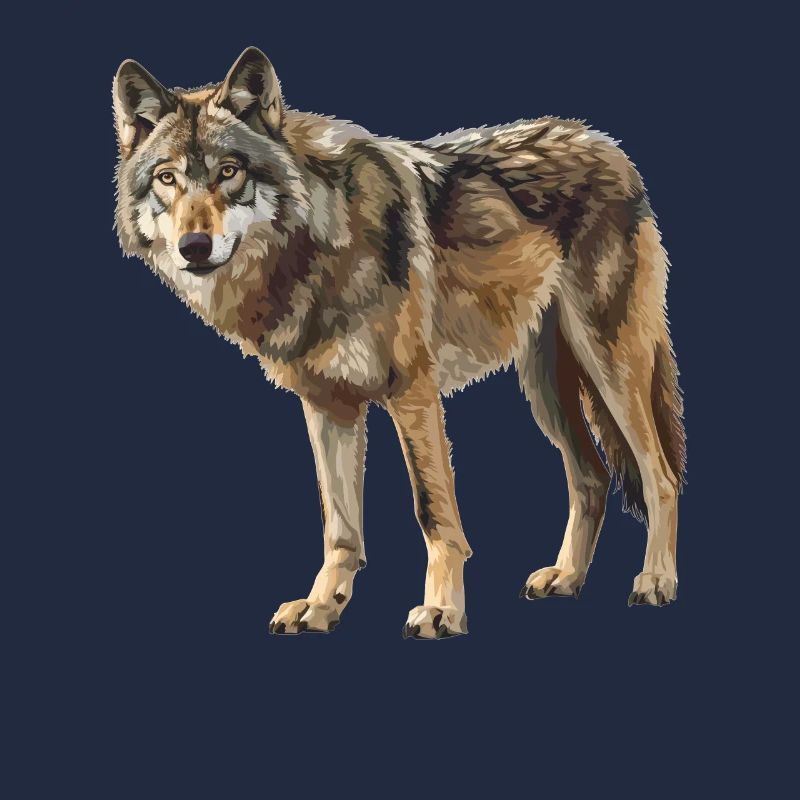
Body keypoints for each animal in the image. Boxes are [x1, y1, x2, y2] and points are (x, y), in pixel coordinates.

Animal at [113, 47, 685, 638]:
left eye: (229, 172)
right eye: (167, 178)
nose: (194, 246)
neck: (318, 245)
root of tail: (607, 145)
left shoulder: (413, 393)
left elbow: (433, 512)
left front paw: (442, 610)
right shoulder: (328, 406)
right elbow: (340, 527)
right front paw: (322, 606)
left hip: (610, 367)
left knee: (660, 476)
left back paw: (655, 581)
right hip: (545, 389)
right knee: (591, 478)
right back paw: (567, 577)